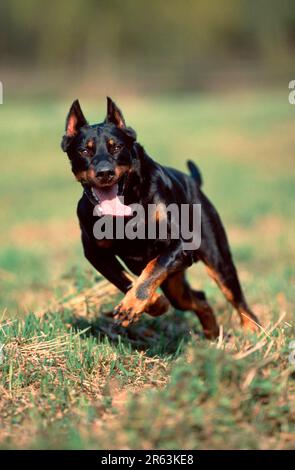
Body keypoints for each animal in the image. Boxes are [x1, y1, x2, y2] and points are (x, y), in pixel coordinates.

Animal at [61, 96, 260, 338]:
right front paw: (153, 304)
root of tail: (194, 183)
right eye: (84, 151)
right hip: (176, 286)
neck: (128, 205)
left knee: (237, 298)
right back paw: (211, 334)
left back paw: (254, 333)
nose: (105, 172)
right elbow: (124, 279)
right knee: (197, 299)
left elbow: (155, 267)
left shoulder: (180, 245)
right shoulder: (95, 253)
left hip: (217, 258)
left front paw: (131, 306)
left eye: (116, 146)